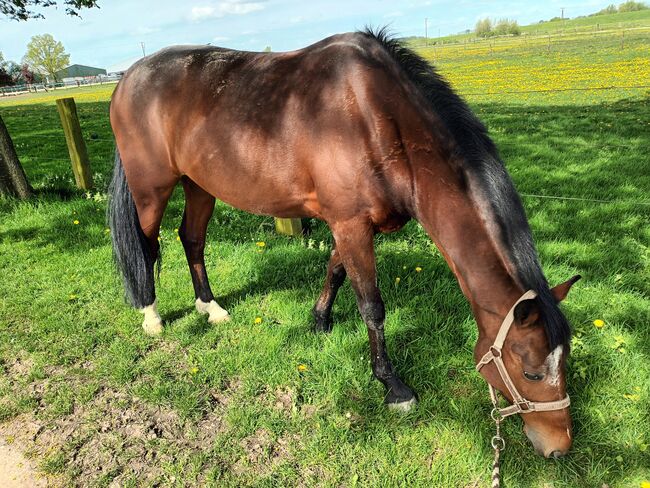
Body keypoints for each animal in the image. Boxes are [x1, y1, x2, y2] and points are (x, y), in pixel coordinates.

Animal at [108, 28, 580, 458]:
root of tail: (128, 78)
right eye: (532, 372)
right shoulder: (350, 223)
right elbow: (372, 306)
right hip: (151, 190)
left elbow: (335, 269)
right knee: (147, 246)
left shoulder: (347, 224)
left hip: (199, 184)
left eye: (565, 362)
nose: (559, 447)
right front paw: (392, 386)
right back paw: (152, 316)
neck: (374, 117)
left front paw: (319, 321)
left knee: (192, 239)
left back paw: (211, 308)